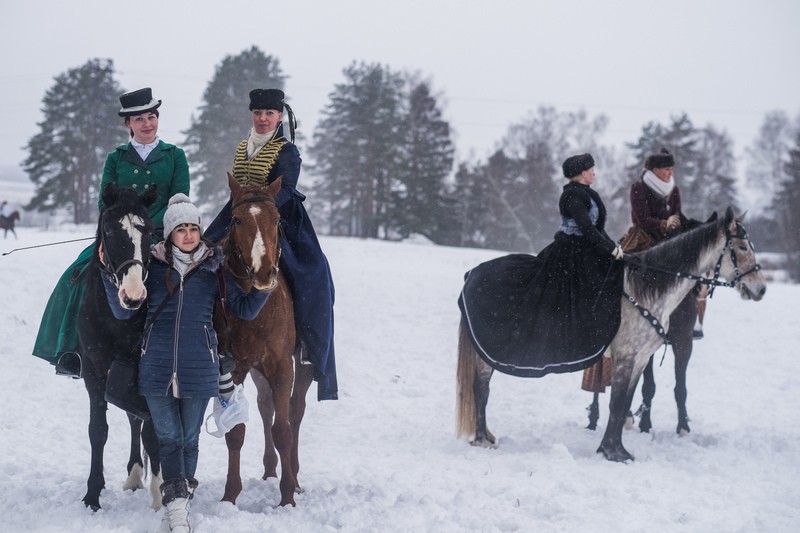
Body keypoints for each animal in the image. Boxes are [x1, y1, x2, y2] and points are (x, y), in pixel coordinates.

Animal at [76, 184, 161, 512]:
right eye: (110, 231)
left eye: (149, 231)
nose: (134, 295)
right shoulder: (94, 370)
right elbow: (98, 430)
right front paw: (92, 495)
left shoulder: (147, 370)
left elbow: (152, 430)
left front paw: (160, 495)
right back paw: (134, 475)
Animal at [214, 175, 314, 508]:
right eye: (236, 219)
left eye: (277, 219)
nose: (263, 272)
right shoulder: (233, 369)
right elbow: (236, 431)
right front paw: (230, 495)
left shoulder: (282, 366)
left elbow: (283, 430)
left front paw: (287, 497)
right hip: (257, 371)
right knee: (265, 406)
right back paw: (271, 470)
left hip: (303, 365)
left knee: (295, 411)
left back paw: (294, 476)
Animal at [454, 208, 764, 462]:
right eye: (741, 246)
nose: (761, 289)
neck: (649, 287)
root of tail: (472, 273)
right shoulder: (626, 356)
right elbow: (617, 403)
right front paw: (611, 452)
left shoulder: (641, 358)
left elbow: (626, 401)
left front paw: (616, 448)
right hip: (484, 354)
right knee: (481, 389)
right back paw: (482, 440)